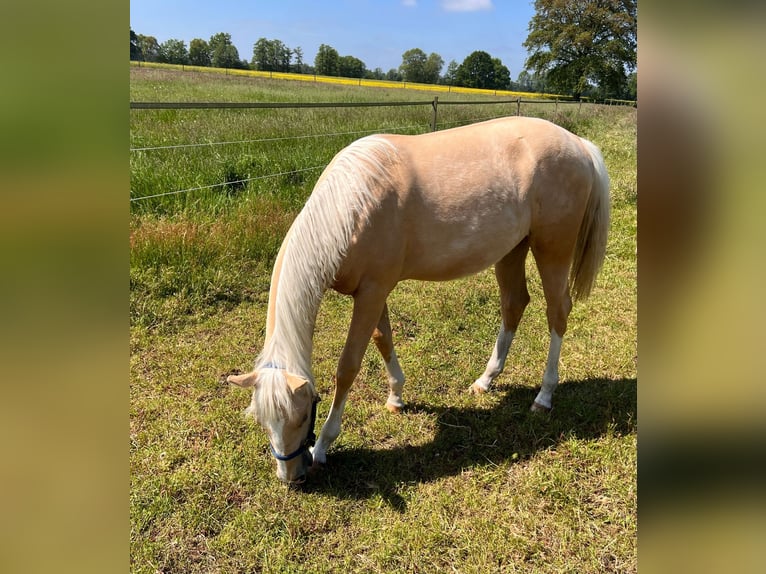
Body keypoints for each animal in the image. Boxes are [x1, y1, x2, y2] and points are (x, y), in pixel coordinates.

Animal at [226, 116, 612, 486]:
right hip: (512, 249)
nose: (291, 478)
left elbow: (348, 367)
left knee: (557, 312)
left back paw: (544, 396)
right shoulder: (373, 292)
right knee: (514, 304)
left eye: (303, 414)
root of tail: (580, 145)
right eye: (262, 420)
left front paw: (323, 445)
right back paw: (486, 380)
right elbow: (383, 339)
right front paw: (396, 397)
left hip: (553, 250)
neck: (353, 205)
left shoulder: (371, 293)